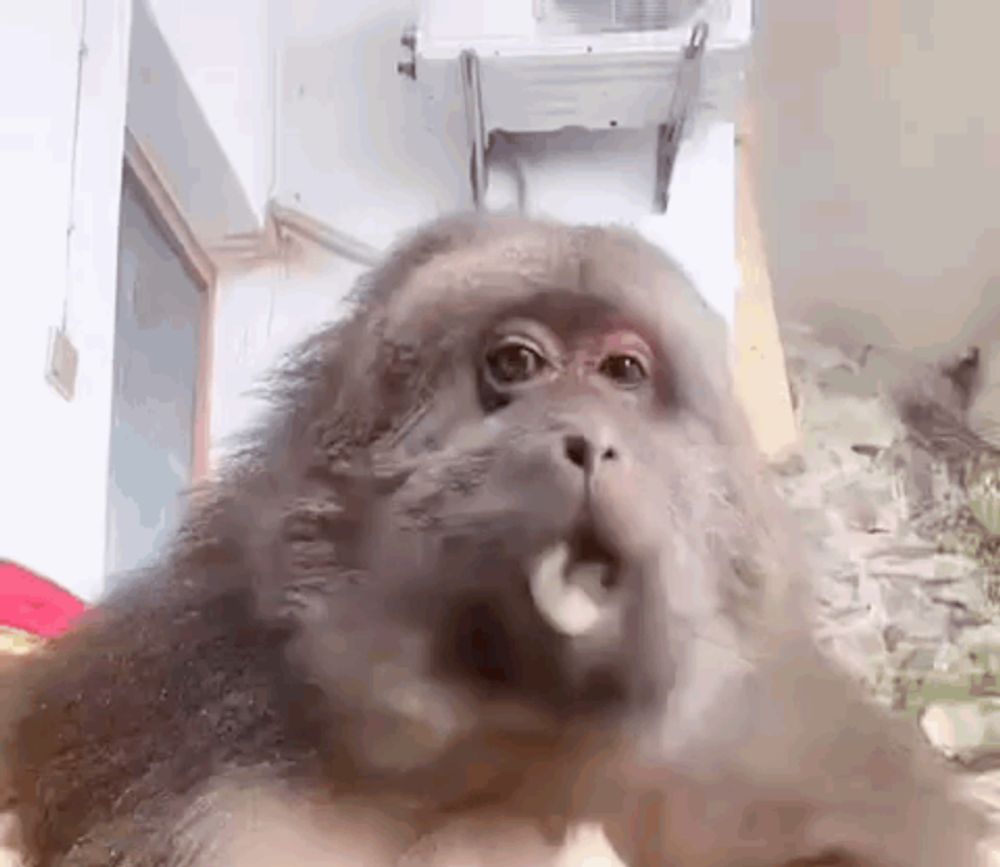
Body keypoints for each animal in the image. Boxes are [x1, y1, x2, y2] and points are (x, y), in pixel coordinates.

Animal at [0, 212, 992, 867]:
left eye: (623, 372)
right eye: (517, 363)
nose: (589, 441)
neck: (502, 753)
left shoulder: (769, 729)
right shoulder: (183, 691)